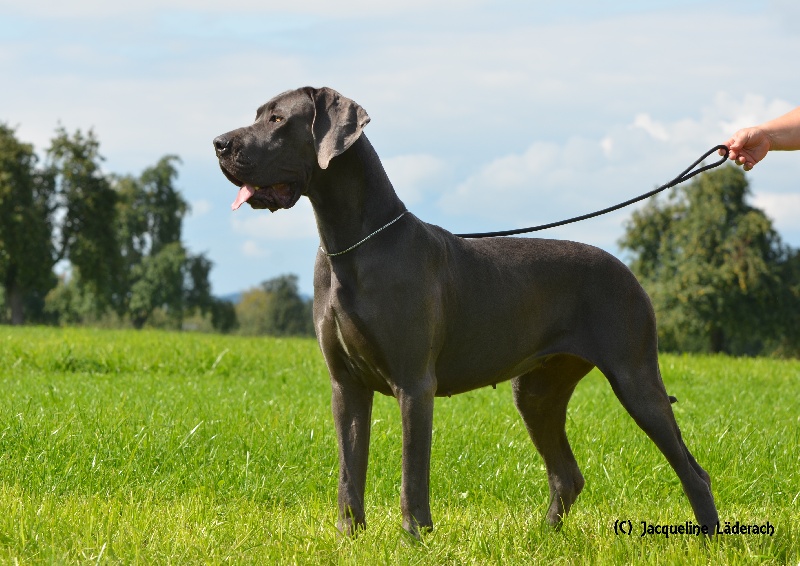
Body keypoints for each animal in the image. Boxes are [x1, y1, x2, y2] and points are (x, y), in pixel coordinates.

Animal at [213, 86, 719, 538]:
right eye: (259, 114)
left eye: (278, 119)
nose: (219, 143)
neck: (352, 245)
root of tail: (629, 272)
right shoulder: (346, 385)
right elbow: (348, 472)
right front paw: (347, 537)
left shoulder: (414, 384)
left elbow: (411, 475)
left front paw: (415, 538)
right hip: (537, 392)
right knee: (567, 475)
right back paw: (541, 539)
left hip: (635, 377)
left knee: (693, 471)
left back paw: (708, 537)